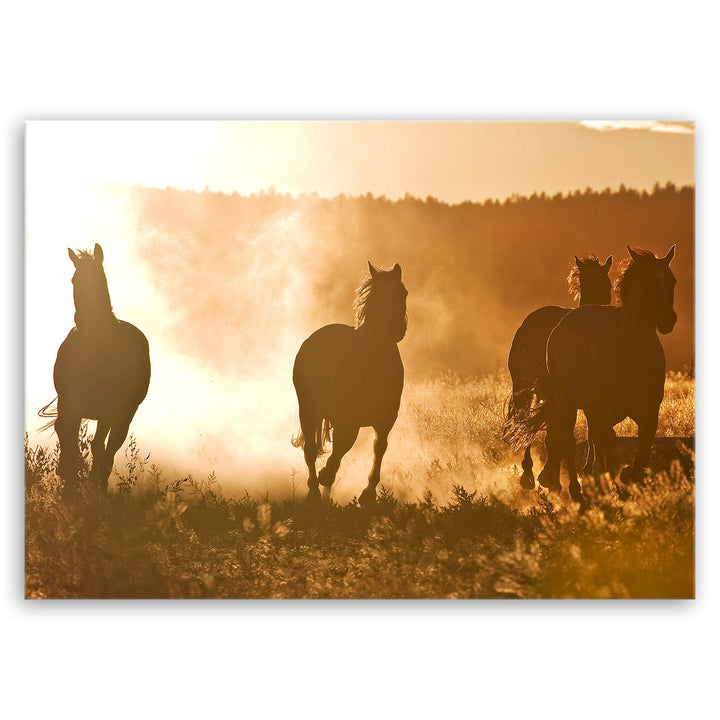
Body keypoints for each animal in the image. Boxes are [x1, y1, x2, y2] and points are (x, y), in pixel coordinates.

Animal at [50, 244, 151, 496]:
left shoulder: (111, 410)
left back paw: (98, 486)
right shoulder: (70, 401)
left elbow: (99, 448)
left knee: (107, 448)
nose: (81, 320)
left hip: (122, 414)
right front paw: (68, 481)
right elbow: (67, 437)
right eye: (74, 279)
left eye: (99, 277)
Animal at [292, 262, 407, 506]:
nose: (396, 329)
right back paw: (314, 493)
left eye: (404, 292)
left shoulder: (385, 420)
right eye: (378, 295)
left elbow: (379, 449)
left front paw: (368, 495)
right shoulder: (348, 419)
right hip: (308, 409)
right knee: (310, 450)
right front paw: (326, 475)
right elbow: (341, 447)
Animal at [504, 254, 612, 488]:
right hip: (525, 391)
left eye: (607, 285)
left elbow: (592, 434)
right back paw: (530, 475)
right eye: (584, 284)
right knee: (529, 424)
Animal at [527, 246, 677, 501]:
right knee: (567, 438)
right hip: (566, 401)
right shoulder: (600, 410)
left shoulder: (649, 413)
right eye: (649, 284)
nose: (669, 319)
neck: (630, 354)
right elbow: (604, 441)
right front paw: (608, 479)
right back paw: (573, 488)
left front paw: (627, 476)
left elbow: (641, 452)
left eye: (671, 281)